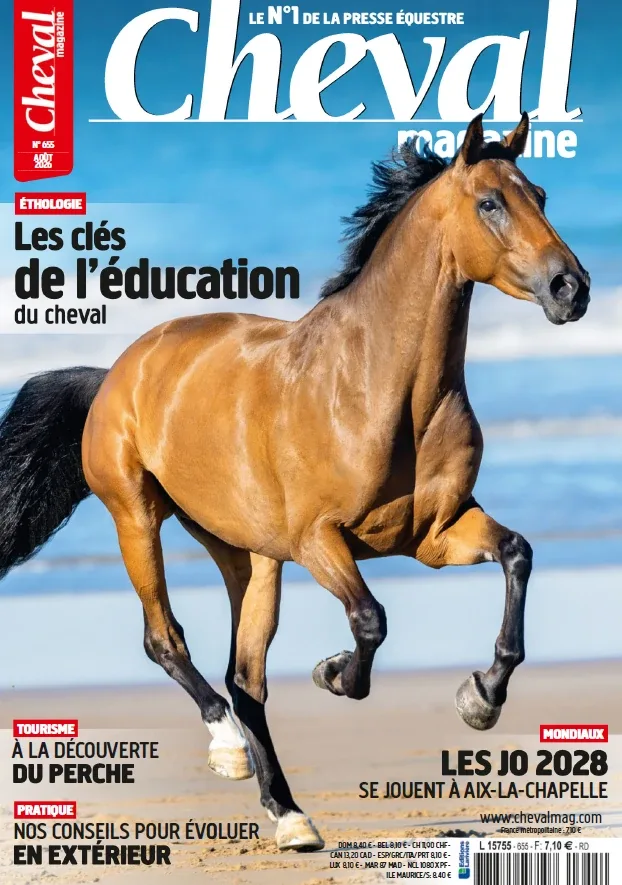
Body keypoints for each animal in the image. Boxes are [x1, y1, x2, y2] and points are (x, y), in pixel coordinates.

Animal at [0, 114, 590, 851]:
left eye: (539, 193)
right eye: (489, 202)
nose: (572, 288)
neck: (378, 388)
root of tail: (116, 373)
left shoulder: (437, 533)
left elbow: (517, 554)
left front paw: (480, 697)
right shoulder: (319, 540)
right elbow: (370, 620)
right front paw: (334, 673)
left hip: (248, 554)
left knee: (245, 675)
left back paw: (289, 814)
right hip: (138, 518)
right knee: (168, 640)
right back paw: (229, 750)